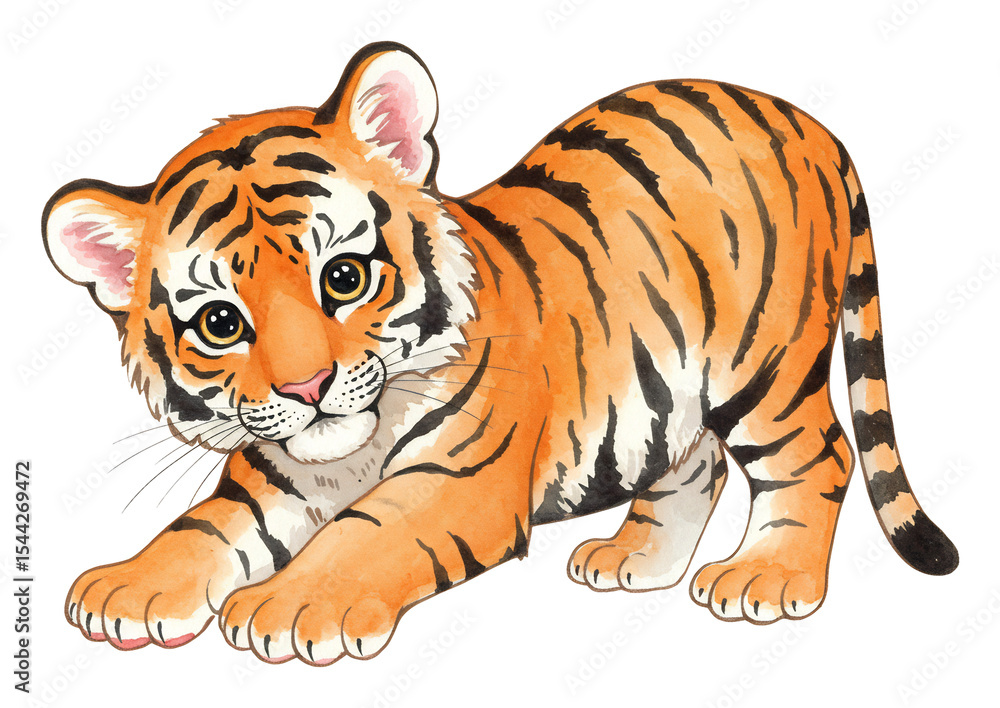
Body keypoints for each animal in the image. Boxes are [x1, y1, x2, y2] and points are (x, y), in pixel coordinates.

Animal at [42, 41, 958, 665]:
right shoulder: (271, 473)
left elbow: (364, 534)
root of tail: (803, 118)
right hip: (676, 388)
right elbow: (201, 528)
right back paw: (634, 561)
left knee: (819, 454)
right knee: (694, 462)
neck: (346, 453)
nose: (308, 386)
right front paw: (126, 586)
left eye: (343, 277)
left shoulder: (459, 477)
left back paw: (767, 578)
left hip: (763, 365)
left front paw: (288, 608)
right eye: (221, 324)